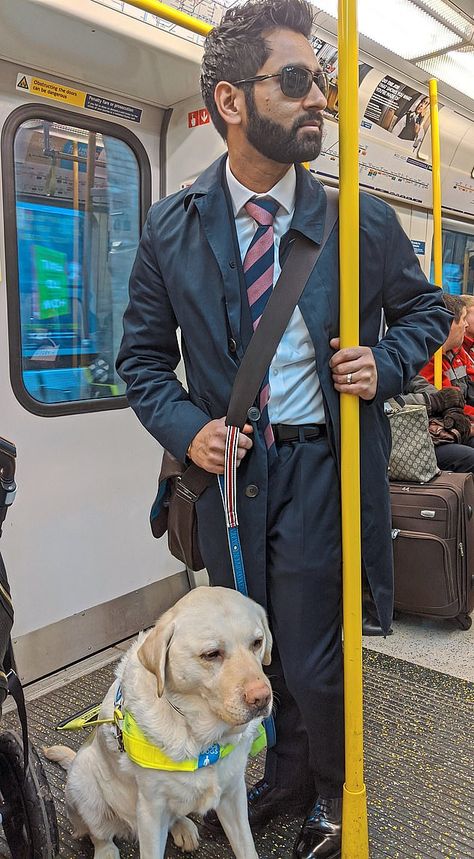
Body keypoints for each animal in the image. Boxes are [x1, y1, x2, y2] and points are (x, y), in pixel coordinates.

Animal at [47, 588, 274, 859]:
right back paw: (106, 850)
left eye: (257, 643)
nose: (262, 698)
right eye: (211, 654)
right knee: (99, 834)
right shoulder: (150, 810)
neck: (201, 737)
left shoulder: (233, 794)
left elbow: (246, 847)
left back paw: (183, 827)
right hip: (84, 786)